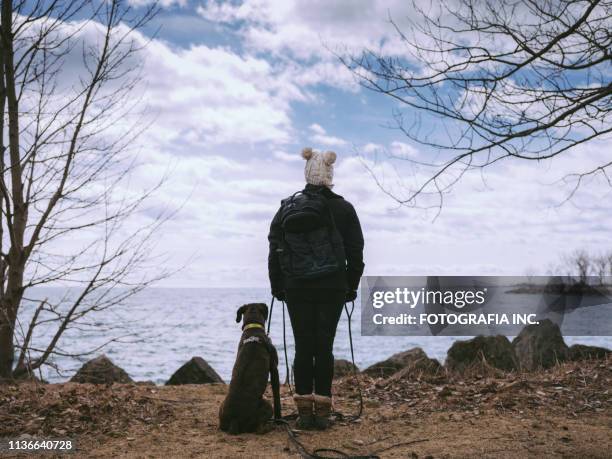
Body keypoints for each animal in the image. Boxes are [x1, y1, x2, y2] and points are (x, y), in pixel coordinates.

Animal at [219, 302, 280, 434]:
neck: (253, 327)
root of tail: (234, 420)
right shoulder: (274, 369)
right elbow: (277, 395)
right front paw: (279, 419)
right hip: (266, 405)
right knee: (259, 429)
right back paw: (270, 426)